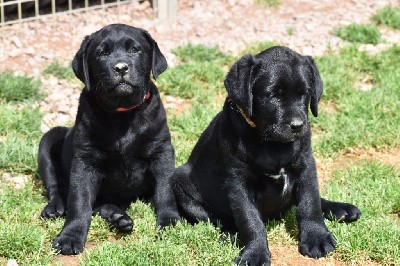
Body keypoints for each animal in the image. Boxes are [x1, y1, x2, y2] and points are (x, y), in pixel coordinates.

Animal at [38, 23, 180, 255]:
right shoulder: (85, 161)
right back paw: (56, 208)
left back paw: (118, 217)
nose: (121, 68)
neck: (121, 114)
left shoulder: (162, 151)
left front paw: (169, 223)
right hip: (48, 139)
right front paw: (70, 236)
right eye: (102, 53)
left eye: (135, 50)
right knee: (56, 186)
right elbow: (79, 201)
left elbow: (165, 189)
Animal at [173, 46, 360, 264]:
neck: (273, 145)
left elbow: (310, 203)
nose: (298, 125)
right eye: (273, 95)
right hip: (181, 180)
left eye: (305, 94)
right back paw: (231, 234)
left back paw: (340, 209)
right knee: (217, 219)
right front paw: (255, 253)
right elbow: (250, 220)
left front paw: (317, 237)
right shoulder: (238, 182)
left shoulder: (306, 166)